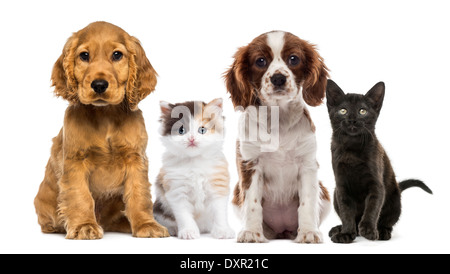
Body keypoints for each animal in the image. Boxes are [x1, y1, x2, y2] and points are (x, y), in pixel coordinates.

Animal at [33, 22, 169, 240]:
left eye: (117, 54)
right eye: (84, 55)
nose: (98, 85)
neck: (105, 115)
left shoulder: (135, 159)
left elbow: (139, 195)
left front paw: (146, 224)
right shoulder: (75, 161)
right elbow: (80, 195)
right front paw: (84, 226)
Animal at [153, 98, 236, 240]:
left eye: (202, 130)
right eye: (181, 130)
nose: (191, 139)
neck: (194, 161)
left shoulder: (218, 187)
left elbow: (219, 212)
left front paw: (223, 231)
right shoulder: (177, 192)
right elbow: (184, 215)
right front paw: (188, 232)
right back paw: (172, 229)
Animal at [326, 79, 430, 244]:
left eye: (362, 111)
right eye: (343, 111)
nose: (352, 120)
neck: (352, 148)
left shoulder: (376, 185)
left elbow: (372, 208)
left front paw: (369, 230)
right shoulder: (341, 186)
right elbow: (346, 212)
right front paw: (346, 233)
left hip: (395, 201)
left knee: (388, 222)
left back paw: (382, 232)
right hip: (335, 193)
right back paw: (339, 229)